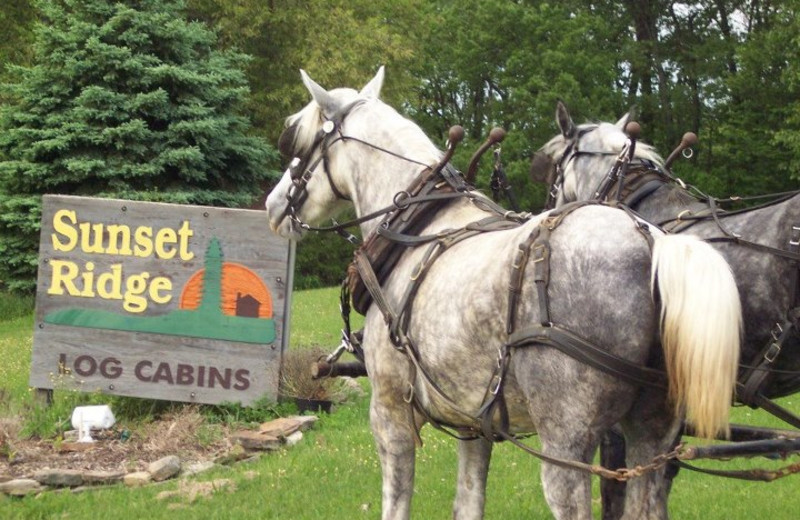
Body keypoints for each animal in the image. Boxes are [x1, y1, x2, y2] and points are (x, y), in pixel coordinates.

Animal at [266, 70, 740, 520]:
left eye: (297, 140)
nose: (272, 205)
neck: (415, 229)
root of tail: (649, 240)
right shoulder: (475, 423)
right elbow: (468, 503)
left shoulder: (389, 412)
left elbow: (397, 503)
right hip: (652, 436)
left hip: (566, 444)